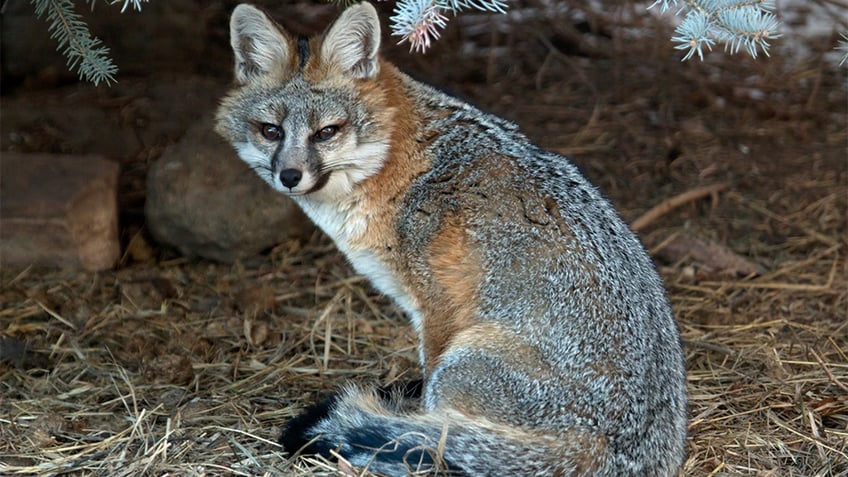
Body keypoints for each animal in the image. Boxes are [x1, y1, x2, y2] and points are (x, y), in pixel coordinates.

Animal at [215, 2, 684, 472]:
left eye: (326, 132)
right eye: (270, 131)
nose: (289, 176)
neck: (399, 164)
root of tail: (605, 446)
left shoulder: (436, 307)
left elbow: (429, 409)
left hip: (462, 357)